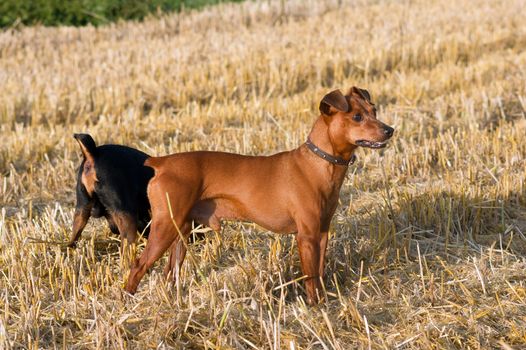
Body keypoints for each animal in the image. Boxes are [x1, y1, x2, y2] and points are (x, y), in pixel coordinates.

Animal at [126, 86, 394, 302]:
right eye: (357, 117)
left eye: (374, 110)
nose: (390, 130)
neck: (318, 163)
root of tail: (161, 163)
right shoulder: (307, 236)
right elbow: (310, 276)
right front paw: (315, 306)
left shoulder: (322, 232)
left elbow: (318, 272)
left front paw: (323, 301)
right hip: (164, 228)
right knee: (138, 265)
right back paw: (127, 301)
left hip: (181, 231)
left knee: (170, 271)